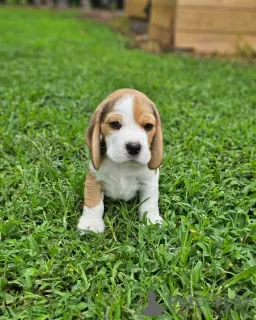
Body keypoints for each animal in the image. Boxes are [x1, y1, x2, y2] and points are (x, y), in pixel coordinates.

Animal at [77, 89, 163, 234]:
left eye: (148, 126)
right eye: (115, 124)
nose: (134, 147)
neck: (123, 166)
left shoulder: (149, 182)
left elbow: (149, 203)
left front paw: (151, 220)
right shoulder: (94, 180)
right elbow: (94, 203)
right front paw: (90, 224)